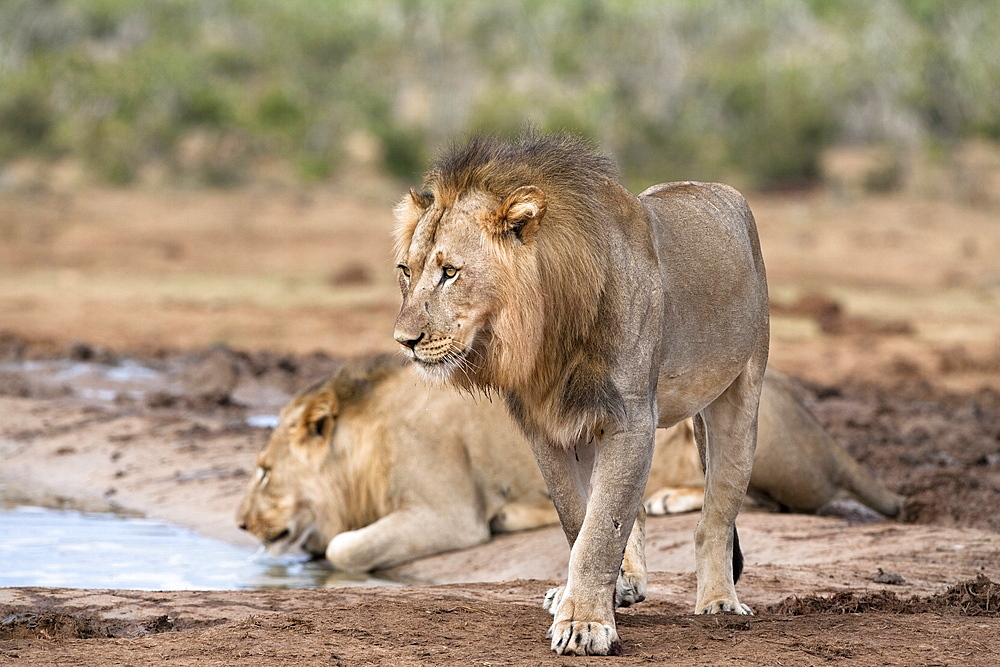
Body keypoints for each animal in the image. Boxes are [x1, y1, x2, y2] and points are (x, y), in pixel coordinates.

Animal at [238, 358, 904, 572]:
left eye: (264, 470)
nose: (241, 523)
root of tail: (827, 437)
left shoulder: (448, 513)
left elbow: (345, 548)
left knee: (760, 498)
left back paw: (668, 499)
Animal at [394, 133, 768, 656]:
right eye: (406, 271)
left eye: (450, 272)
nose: (403, 340)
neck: (546, 332)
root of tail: (716, 188)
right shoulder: (546, 426)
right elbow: (581, 520)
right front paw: (590, 603)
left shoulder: (630, 419)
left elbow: (601, 530)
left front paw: (586, 624)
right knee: (633, 513)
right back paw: (621, 586)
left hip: (739, 396)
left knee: (715, 514)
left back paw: (719, 602)